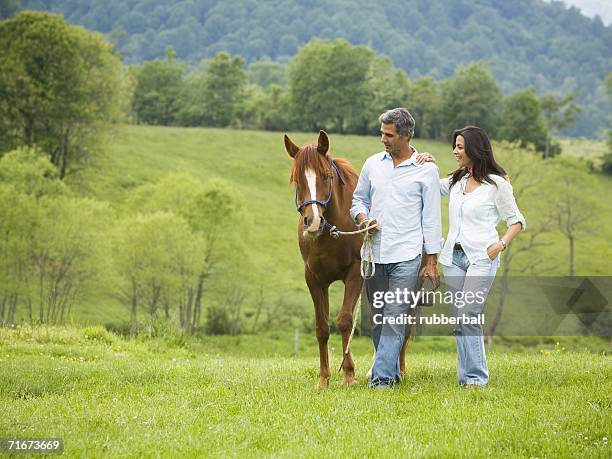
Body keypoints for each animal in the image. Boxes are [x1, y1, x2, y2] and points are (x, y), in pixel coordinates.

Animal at [284, 131, 364, 390]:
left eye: (326, 176)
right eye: (296, 179)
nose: (313, 221)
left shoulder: (355, 273)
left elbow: (345, 321)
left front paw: (348, 375)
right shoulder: (314, 278)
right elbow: (321, 328)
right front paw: (323, 378)